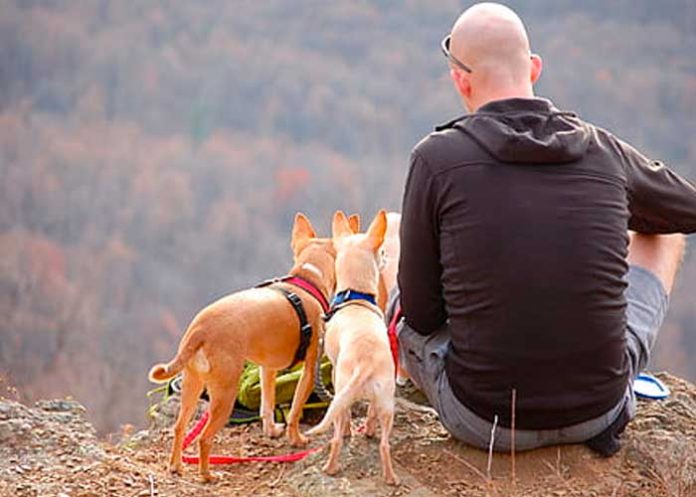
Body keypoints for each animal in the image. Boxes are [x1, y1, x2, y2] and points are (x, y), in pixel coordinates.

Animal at [150, 213, 338, 480]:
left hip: (192, 384)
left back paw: (176, 466)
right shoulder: (310, 369)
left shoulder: (268, 368)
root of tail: (200, 331)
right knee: (204, 439)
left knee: (179, 427)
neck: (306, 280)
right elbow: (295, 410)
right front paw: (296, 439)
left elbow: (267, 404)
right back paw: (208, 476)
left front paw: (272, 430)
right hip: (225, 393)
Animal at [304, 209, 396, 484]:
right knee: (384, 442)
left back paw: (331, 467)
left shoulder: (334, 369)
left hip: (342, 388)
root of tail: (365, 363)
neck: (354, 296)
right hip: (387, 401)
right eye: (382, 252)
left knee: (337, 433)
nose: (386, 257)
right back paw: (390, 476)